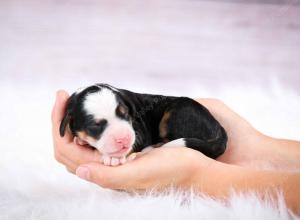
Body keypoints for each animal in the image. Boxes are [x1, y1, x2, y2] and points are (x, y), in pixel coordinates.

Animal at [59, 83, 227, 166]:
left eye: (125, 113)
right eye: (95, 125)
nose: (124, 139)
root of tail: (219, 128)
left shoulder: (139, 131)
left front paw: (114, 158)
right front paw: (81, 140)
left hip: (178, 112)